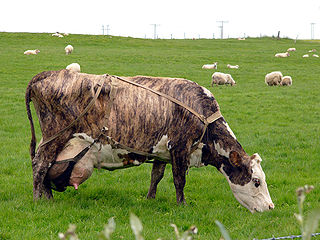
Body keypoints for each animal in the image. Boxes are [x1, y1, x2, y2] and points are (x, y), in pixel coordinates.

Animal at [26, 69, 274, 212]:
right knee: (40, 165)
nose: (271, 207)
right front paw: (182, 205)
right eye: (256, 181)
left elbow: (157, 176)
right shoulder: (180, 148)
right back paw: (41, 200)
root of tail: (46, 74)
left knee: (45, 167)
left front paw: (150, 198)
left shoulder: (162, 151)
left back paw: (47, 195)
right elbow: (179, 180)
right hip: (55, 135)